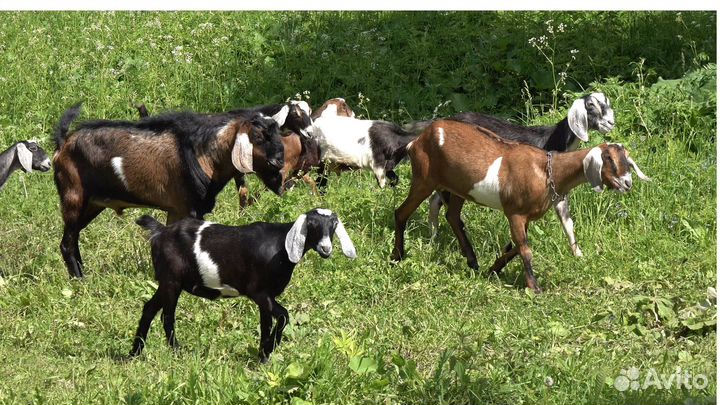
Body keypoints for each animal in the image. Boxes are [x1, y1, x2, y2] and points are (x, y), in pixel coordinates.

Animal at [53, 103, 285, 279]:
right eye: (259, 137)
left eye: (277, 134)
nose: (279, 161)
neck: (204, 153)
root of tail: (63, 145)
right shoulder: (185, 208)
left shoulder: (177, 210)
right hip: (74, 196)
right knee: (67, 243)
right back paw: (79, 280)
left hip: (92, 203)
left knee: (74, 237)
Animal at [131, 208, 357, 362]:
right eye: (313, 226)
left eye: (332, 226)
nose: (326, 248)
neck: (280, 246)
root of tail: (160, 231)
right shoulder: (259, 292)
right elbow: (284, 316)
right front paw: (269, 350)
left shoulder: (266, 298)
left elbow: (266, 325)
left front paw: (263, 358)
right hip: (172, 280)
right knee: (167, 316)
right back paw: (177, 352)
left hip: (166, 281)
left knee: (149, 308)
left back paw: (134, 353)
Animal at [391, 120, 649, 293]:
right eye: (609, 160)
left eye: (627, 161)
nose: (627, 183)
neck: (547, 171)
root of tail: (418, 140)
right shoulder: (514, 213)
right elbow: (525, 249)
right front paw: (534, 287)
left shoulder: (526, 218)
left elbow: (515, 246)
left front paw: (493, 269)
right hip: (424, 179)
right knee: (401, 212)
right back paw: (397, 256)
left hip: (458, 189)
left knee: (453, 216)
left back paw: (473, 262)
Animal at [408, 93, 615, 257]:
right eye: (590, 107)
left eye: (606, 103)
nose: (610, 123)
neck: (552, 140)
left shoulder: (558, 192)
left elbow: (568, 222)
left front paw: (579, 255)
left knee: (435, 199)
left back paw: (433, 237)